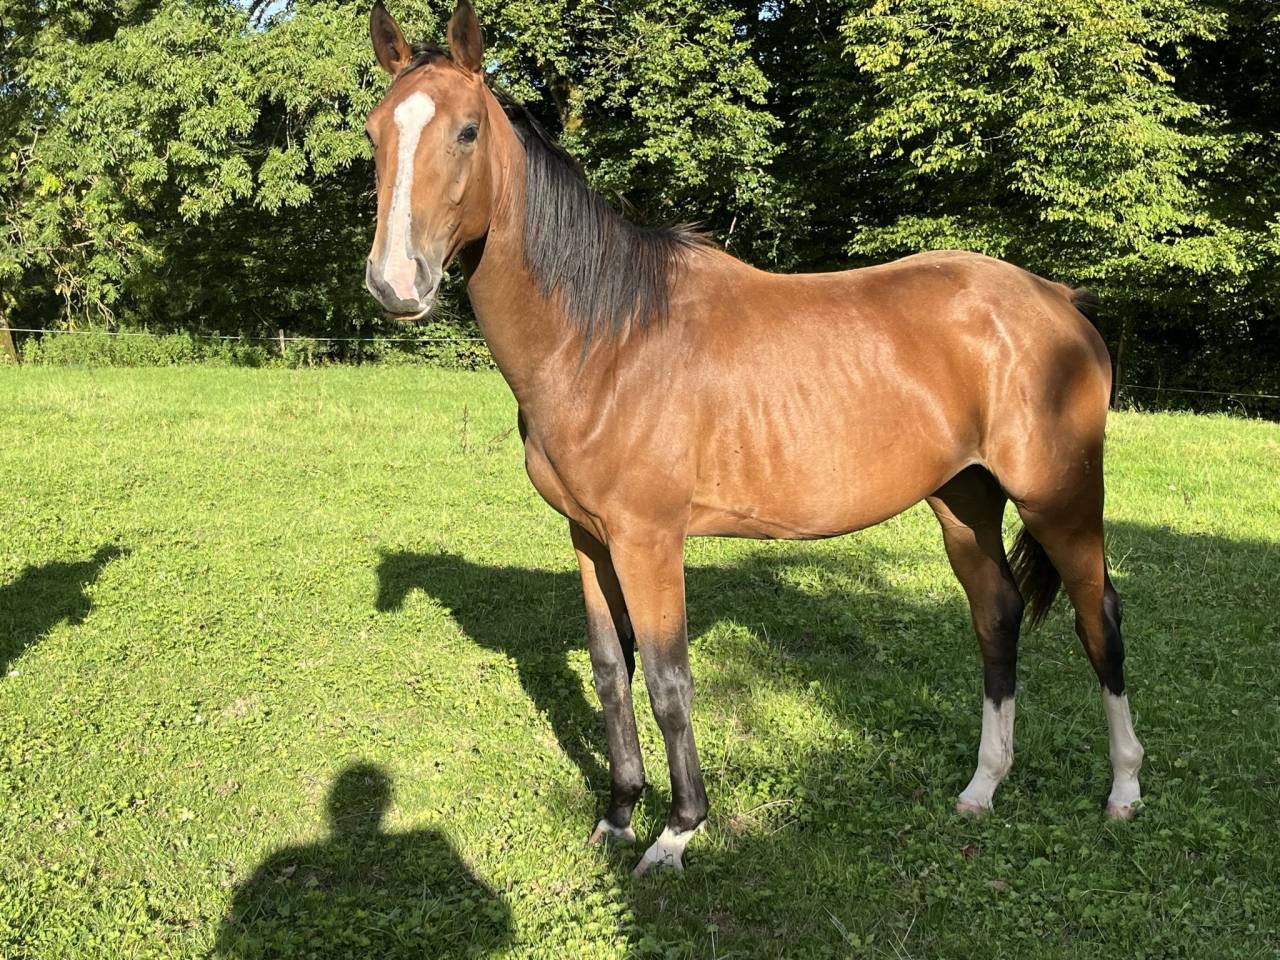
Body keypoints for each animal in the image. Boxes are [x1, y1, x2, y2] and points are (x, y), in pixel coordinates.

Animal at [362, 0, 1145, 876]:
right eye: (374, 132)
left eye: (466, 131)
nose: (397, 283)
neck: (606, 338)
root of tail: (1058, 300)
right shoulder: (590, 539)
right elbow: (610, 673)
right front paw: (619, 814)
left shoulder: (649, 541)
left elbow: (668, 681)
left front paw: (676, 831)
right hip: (963, 499)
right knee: (997, 616)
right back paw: (982, 787)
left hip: (1060, 497)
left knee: (1099, 618)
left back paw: (1123, 790)